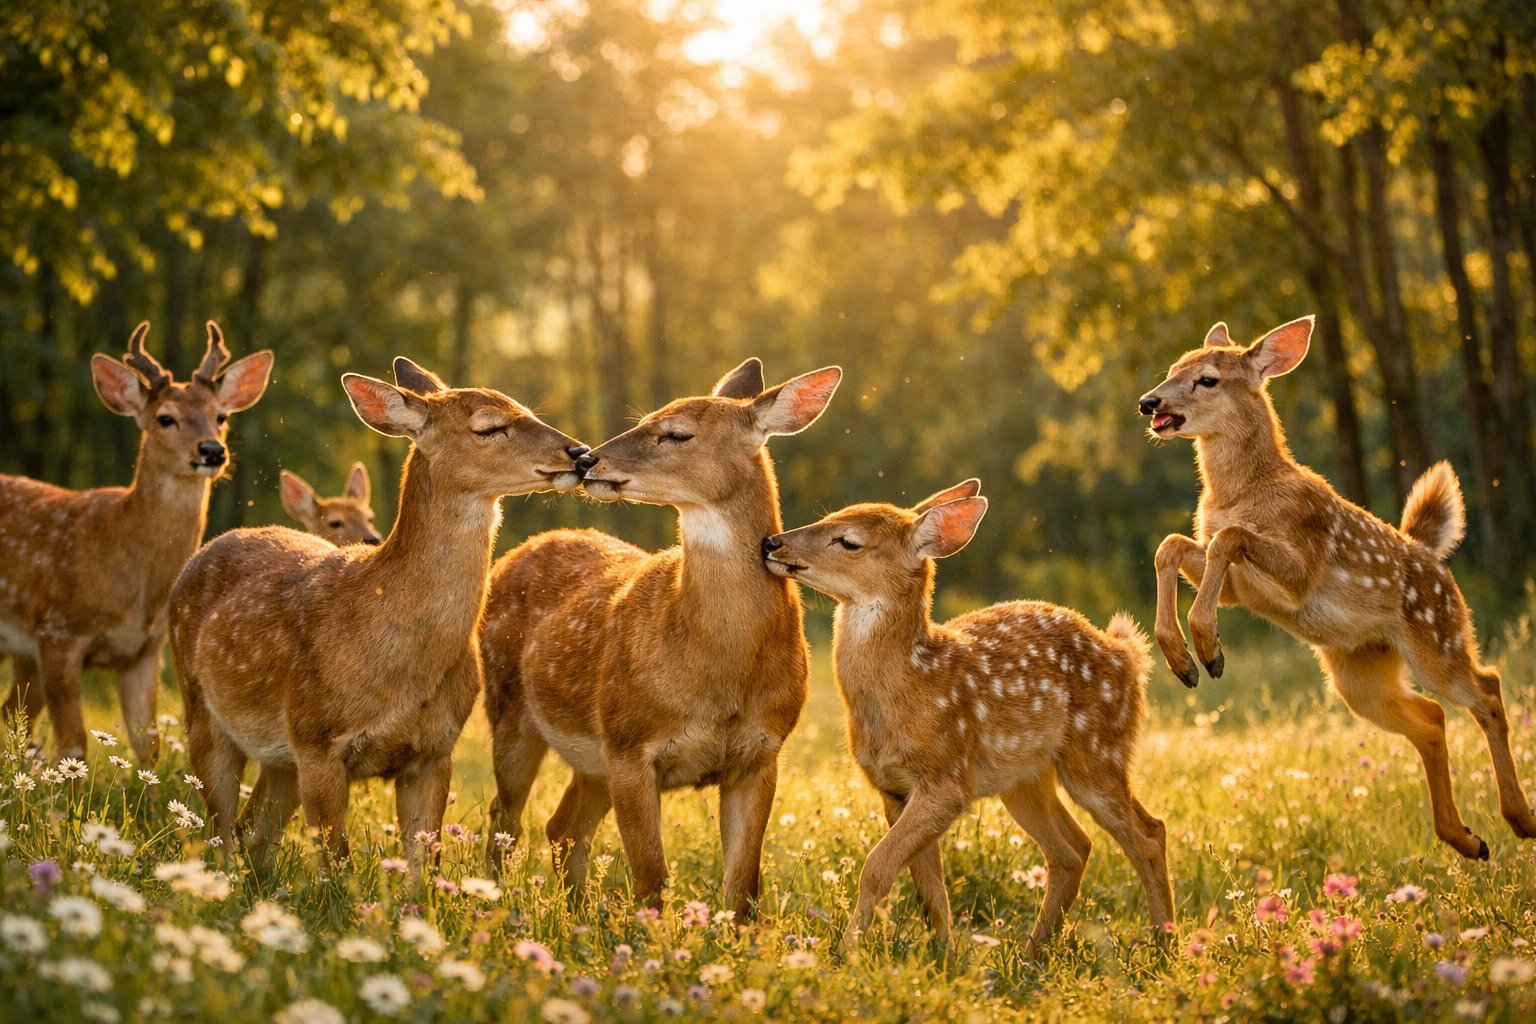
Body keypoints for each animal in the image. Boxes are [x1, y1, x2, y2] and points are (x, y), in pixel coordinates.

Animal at [0, 321, 272, 765]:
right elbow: (73, 742)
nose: (212, 451)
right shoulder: (57, 632)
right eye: (165, 418)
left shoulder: (144, 651)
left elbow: (148, 744)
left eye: (221, 416)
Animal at [168, 359, 586, 868]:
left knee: (255, 830)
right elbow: (337, 864)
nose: (580, 452)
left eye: (526, 410)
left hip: (278, 757)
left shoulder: (434, 751)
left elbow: (425, 864)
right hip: (201, 707)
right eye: (489, 426)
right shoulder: (317, 738)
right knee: (221, 831)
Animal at [480, 358, 840, 915]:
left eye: (676, 433)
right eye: (649, 417)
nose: (589, 459)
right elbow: (651, 879)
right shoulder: (630, 743)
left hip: (591, 757)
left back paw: (578, 915)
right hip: (511, 710)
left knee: (562, 828)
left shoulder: (763, 751)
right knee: (505, 818)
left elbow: (743, 887)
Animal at [762, 481, 1171, 953]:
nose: (771, 542)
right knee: (1072, 849)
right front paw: (944, 955)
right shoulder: (893, 789)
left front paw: (849, 951)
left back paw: (1164, 945)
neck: (911, 684)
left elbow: (877, 868)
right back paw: (1032, 953)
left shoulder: (947, 778)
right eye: (829, 516)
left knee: (1149, 834)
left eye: (848, 540)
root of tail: (1128, 655)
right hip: (1025, 778)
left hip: (1097, 752)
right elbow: (928, 888)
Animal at [1139, 314, 1536, 861]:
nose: (1149, 402)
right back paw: (1468, 839)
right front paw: (1183, 660)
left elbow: (1227, 539)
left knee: (1487, 690)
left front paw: (1208, 648)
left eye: (1208, 379)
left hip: (1438, 640)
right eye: (1173, 368)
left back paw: (1520, 820)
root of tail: (1432, 557)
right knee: (1432, 717)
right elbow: (1172, 546)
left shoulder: (1303, 565)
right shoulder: (1238, 588)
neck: (1238, 493)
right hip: (1359, 675)